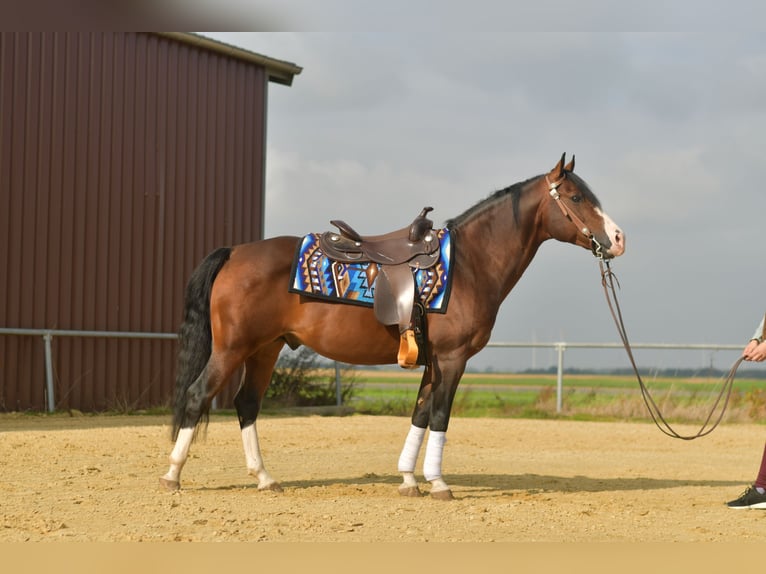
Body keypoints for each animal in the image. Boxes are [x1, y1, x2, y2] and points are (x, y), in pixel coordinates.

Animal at [160, 153, 625, 500]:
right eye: (576, 197)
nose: (619, 239)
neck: (470, 265)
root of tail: (235, 252)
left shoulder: (432, 361)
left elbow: (419, 412)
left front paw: (408, 479)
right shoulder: (453, 359)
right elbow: (440, 415)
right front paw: (439, 483)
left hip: (264, 349)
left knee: (247, 404)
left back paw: (264, 478)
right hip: (232, 349)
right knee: (198, 395)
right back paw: (173, 475)